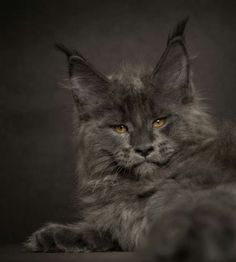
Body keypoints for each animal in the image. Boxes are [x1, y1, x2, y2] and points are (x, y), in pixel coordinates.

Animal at [25, 19, 236, 260]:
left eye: (158, 121)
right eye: (120, 128)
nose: (143, 148)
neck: (141, 188)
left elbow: (197, 219)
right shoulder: (123, 222)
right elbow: (106, 229)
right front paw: (53, 236)